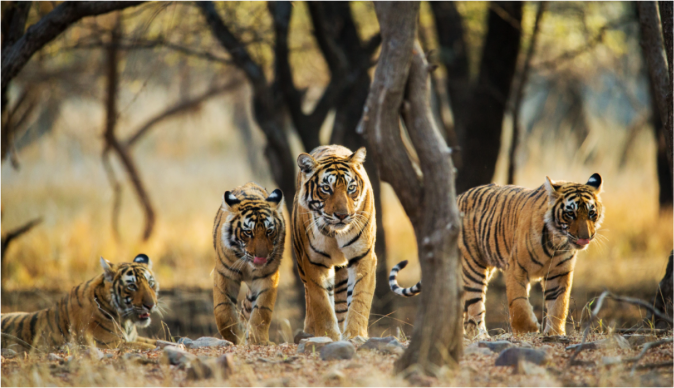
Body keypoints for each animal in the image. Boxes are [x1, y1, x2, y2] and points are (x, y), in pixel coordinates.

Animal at [0, 255, 159, 352]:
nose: (151, 305)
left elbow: (156, 341)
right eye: (131, 286)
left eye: (151, 284)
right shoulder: (109, 343)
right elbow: (148, 346)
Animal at [288, 145, 376, 340]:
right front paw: (328, 336)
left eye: (351, 188)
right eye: (326, 188)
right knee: (309, 297)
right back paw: (309, 331)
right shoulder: (314, 261)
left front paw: (355, 334)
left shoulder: (363, 256)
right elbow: (321, 303)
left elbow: (359, 298)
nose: (342, 215)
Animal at [388, 174, 604, 338]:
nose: (585, 237)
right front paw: (528, 330)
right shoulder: (516, 268)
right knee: (474, 309)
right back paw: (480, 336)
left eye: (591, 214)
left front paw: (555, 334)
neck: (557, 242)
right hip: (473, 267)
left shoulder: (559, 274)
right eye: (570, 214)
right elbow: (518, 303)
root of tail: (457, 198)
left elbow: (559, 305)